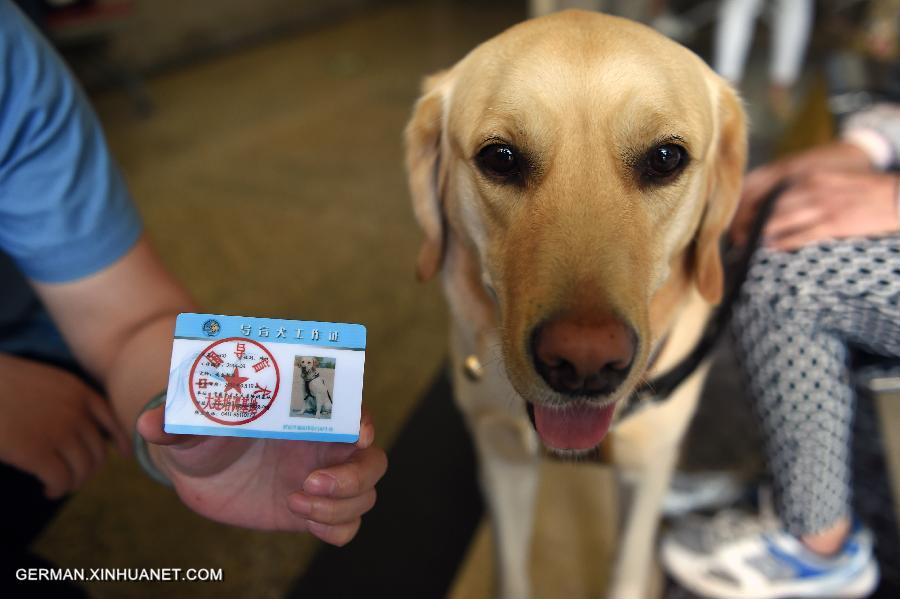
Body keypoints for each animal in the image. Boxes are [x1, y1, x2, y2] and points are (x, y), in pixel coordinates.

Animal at [406, 10, 744, 599]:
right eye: (500, 157)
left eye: (665, 158)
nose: (585, 362)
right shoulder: (502, 457)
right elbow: (512, 569)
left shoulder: (647, 471)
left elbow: (627, 569)